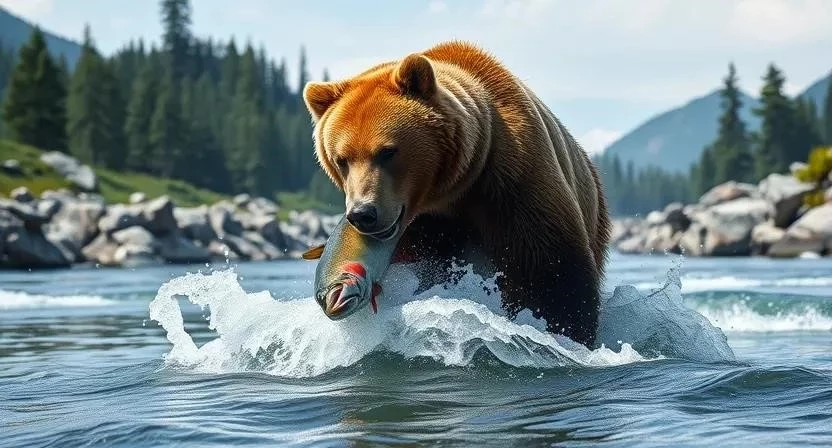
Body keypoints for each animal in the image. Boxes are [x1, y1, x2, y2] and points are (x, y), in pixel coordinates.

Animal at [302, 41, 611, 347]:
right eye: (341, 159)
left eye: (387, 152)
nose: (363, 213)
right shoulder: (430, 229)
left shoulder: (512, 184)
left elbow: (548, 271)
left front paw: (561, 328)